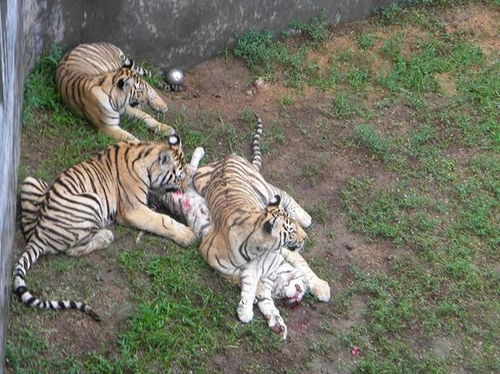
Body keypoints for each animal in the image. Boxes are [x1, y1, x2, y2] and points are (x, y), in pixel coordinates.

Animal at [13, 136, 197, 320]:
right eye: (179, 177)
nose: (185, 189)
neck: (145, 158)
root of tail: (39, 236)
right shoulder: (133, 209)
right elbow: (162, 220)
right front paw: (188, 235)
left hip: (31, 182)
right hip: (92, 200)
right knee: (73, 249)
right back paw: (105, 236)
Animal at [152, 114, 332, 338]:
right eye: (290, 232)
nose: (300, 294)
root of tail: (227, 158)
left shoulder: (281, 254)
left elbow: (303, 267)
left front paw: (320, 287)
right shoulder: (230, 268)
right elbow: (259, 291)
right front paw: (271, 318)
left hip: (259, 189)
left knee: (281, 193)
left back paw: (305, 217)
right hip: (200, 180)